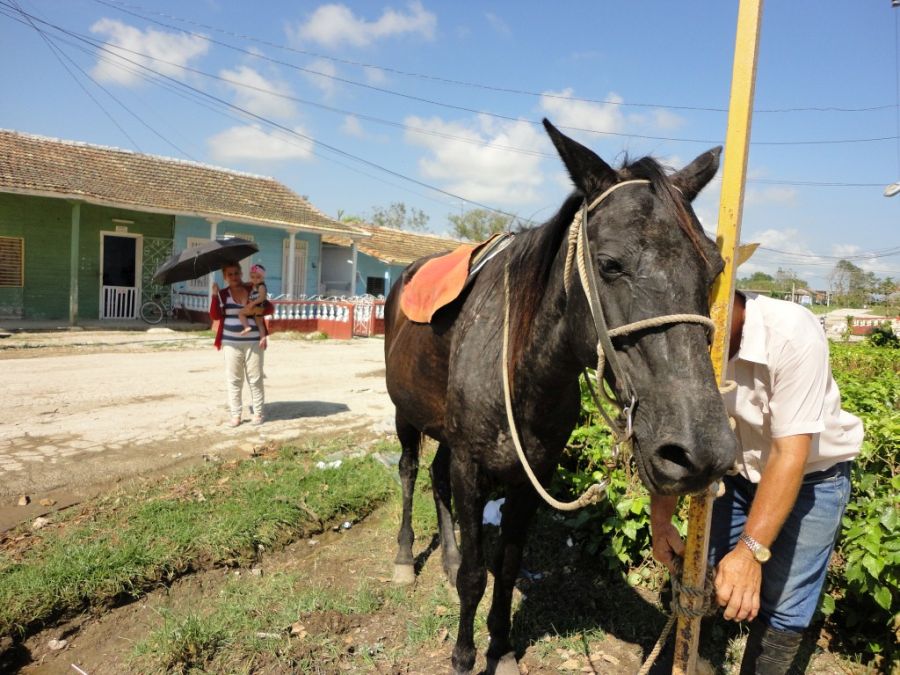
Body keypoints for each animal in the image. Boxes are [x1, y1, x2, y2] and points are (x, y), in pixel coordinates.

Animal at [384, 119, 736, 672]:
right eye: (609, 264)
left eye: (715, 268)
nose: (701, 453)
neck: (520, 371)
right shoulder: (471, 465)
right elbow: (475, 578)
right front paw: (464, 654)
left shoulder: (533, 475)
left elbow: (506, 567)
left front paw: (501, 646)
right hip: (406, 417)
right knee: (409, 471)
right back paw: (405, 558)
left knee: (436, 480)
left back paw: (448, 554)